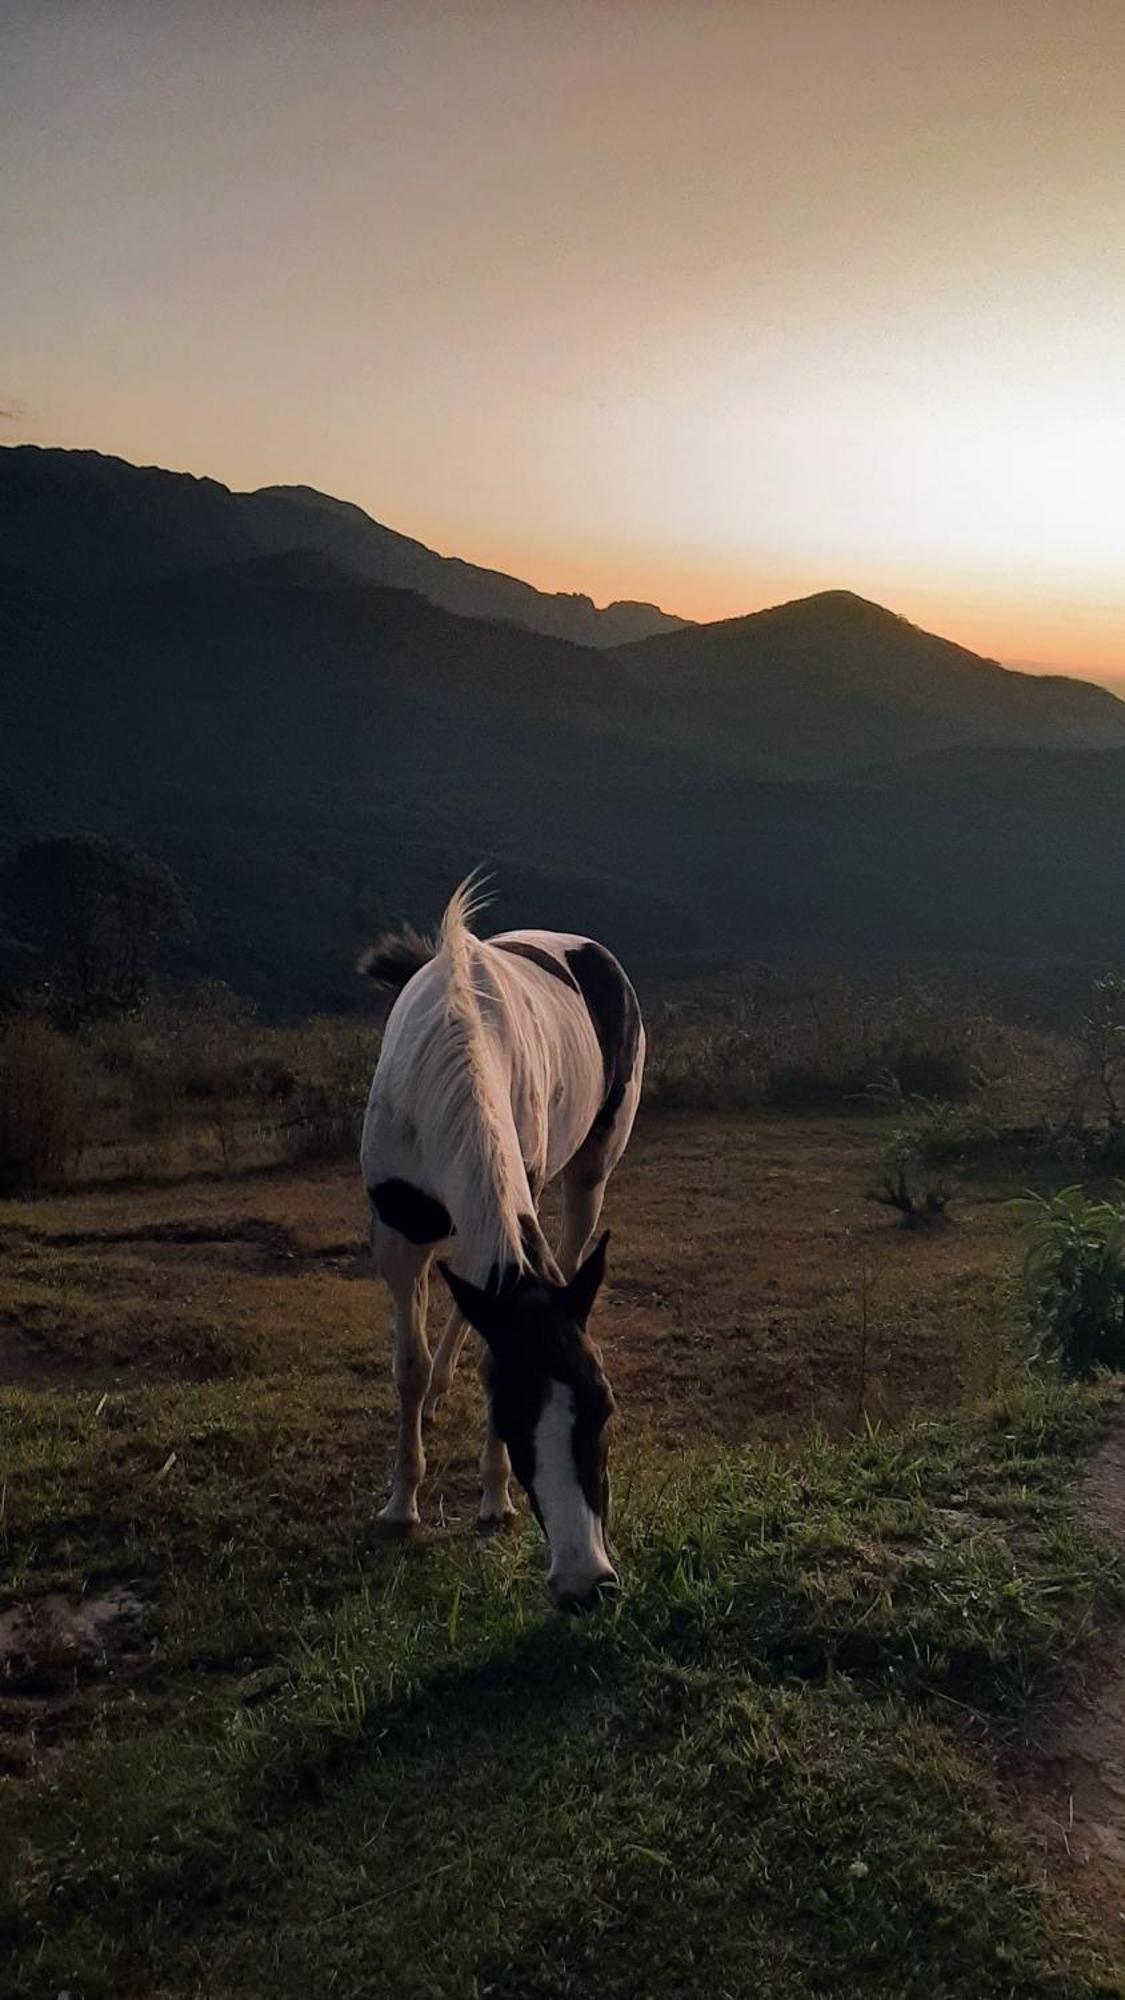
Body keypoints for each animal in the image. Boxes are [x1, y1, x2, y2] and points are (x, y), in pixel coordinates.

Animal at [354, 876, 644, 1608]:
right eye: (515, 1418)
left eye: (604, 1406)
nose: (586, 1581)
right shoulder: (396, 1239)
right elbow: (408, 1365)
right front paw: (401, 1504)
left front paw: (492, 1497)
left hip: (588, 1176)